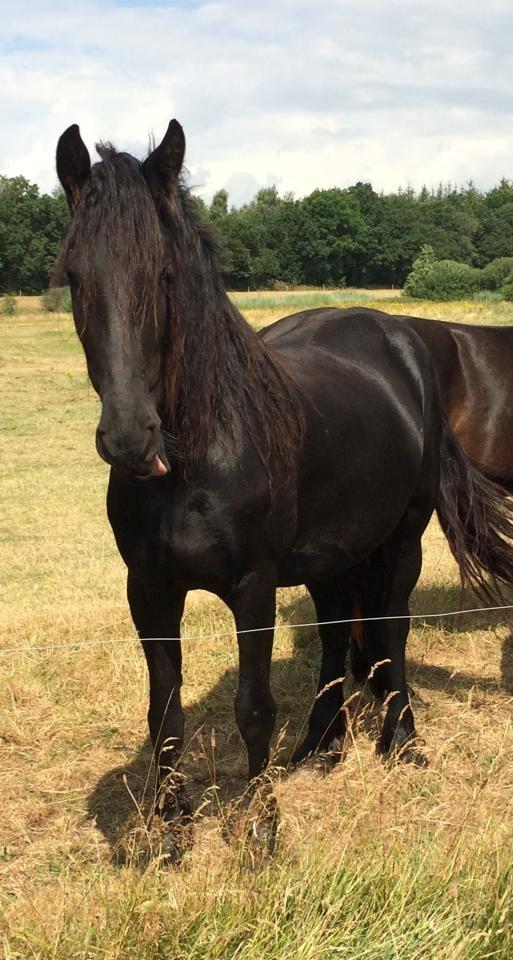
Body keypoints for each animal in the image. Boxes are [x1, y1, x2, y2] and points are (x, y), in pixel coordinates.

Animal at [55, 120, 513, 856]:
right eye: (74, 275)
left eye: (164, 274)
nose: (130, 440)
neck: (199, 459)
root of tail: (405, 340)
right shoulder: (148, 590)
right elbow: (164, 712)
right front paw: (171, 828)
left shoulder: (253, 587)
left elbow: (253, 709)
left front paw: (263, 828)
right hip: (331, 554)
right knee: (333, 635)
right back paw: (321, 748)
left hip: (403, 536)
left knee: (389, 630)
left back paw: (402, 742)